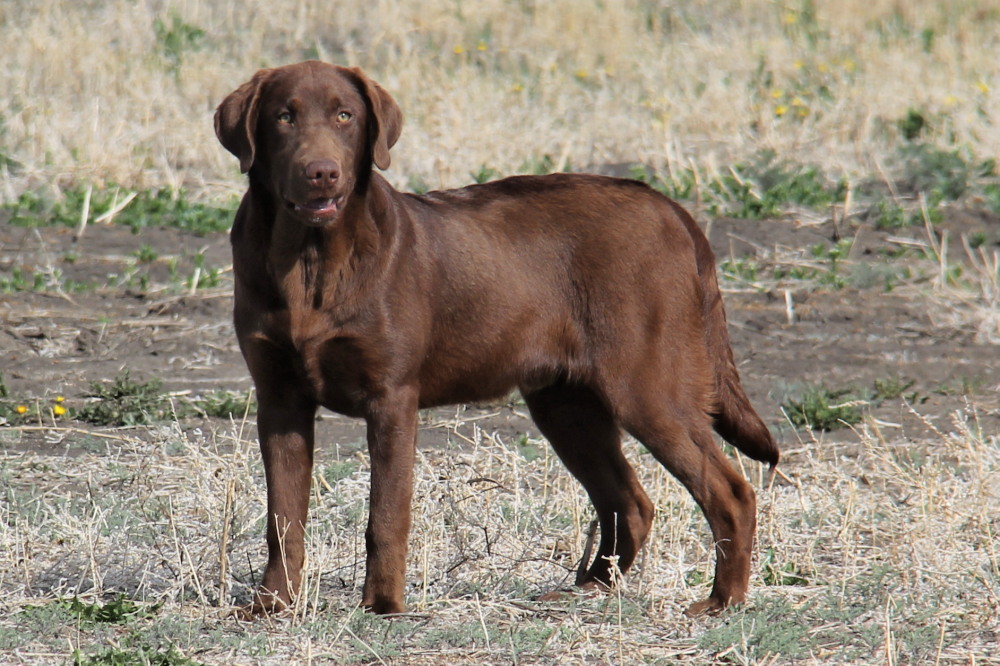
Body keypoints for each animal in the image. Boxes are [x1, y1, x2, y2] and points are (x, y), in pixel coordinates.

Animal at [215, 59, 776, 616]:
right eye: (284, 117)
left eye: (344, 116)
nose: (322, 171)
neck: (310, 260)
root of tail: (672, 209)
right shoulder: (280, 401)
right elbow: (283, 517)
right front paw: (272, 603)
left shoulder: (391, 397)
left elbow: (386, 515)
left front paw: (383, 607)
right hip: (567, 405)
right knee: (628, 502)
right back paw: (587, 590)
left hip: (649, 388)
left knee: (730, 492)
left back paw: (723, 600)